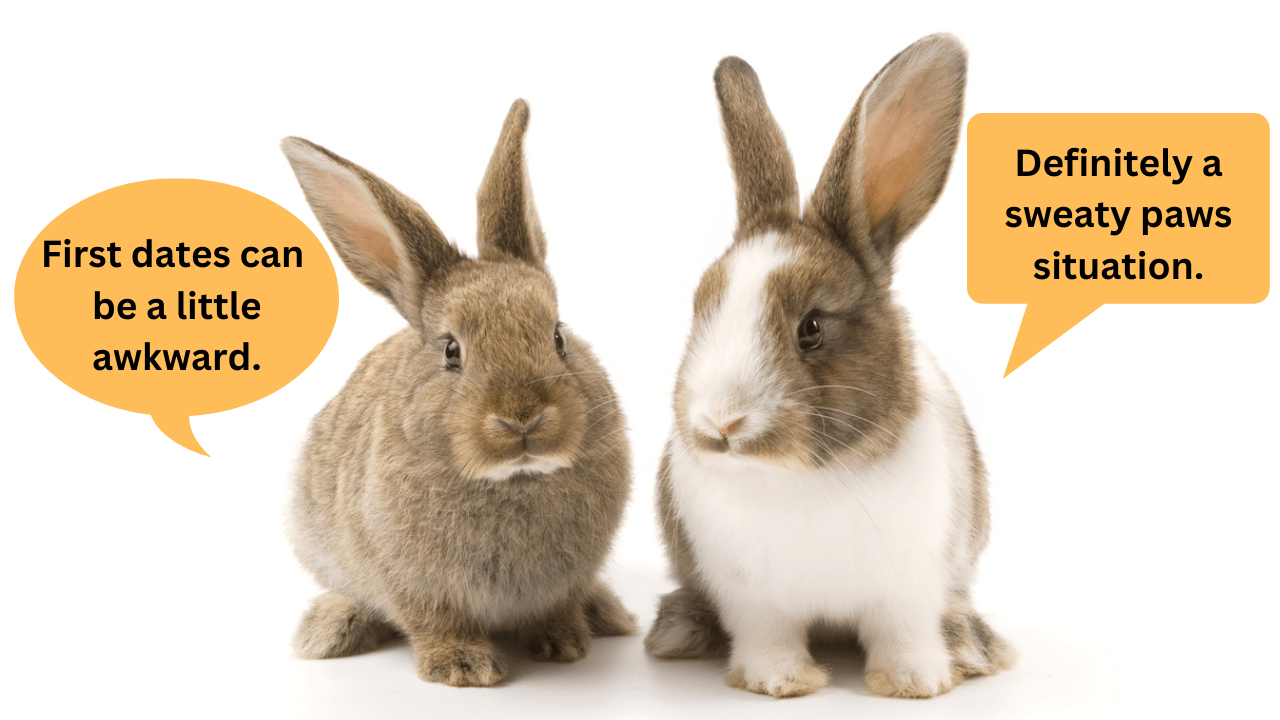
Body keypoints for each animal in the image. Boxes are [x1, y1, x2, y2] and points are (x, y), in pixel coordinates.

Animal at [280, 99, 636, 688]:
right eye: (451, 351)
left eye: (558, 336)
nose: (522, 419)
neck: (513, 479)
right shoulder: (412, 583)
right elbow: (432, 621)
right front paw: (465, 667)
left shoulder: (567, 579)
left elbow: (559, 606)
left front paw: (565, 644)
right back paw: (329, 631)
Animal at [643, 34, 1014, 699]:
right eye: (700, 308)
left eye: (811, 328)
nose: (720, 423)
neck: (800, 480)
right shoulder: (752, 599)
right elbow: (768, 637)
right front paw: (780, 682)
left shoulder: (909, 588)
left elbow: (905, 633)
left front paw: (916, 683)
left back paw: (970, 646)